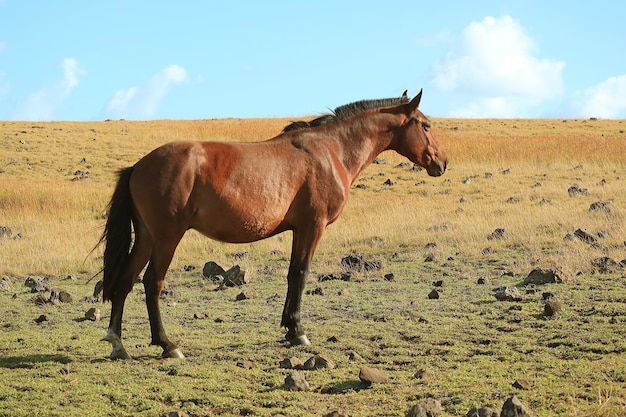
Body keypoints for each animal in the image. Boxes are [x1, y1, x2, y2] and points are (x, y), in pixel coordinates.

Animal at [98, 89, 444, 360]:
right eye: (426, 125)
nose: (442, 162)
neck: (331, 151)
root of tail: (138, 166)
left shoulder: (298, 229)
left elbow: (292, 274)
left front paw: (289, 329)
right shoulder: (312, 226)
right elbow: (300, 274)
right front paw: (298, 331)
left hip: (145, 237)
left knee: (125, 282)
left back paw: (118, 344)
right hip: (167, 237)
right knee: (152, 283)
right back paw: (167, 345)